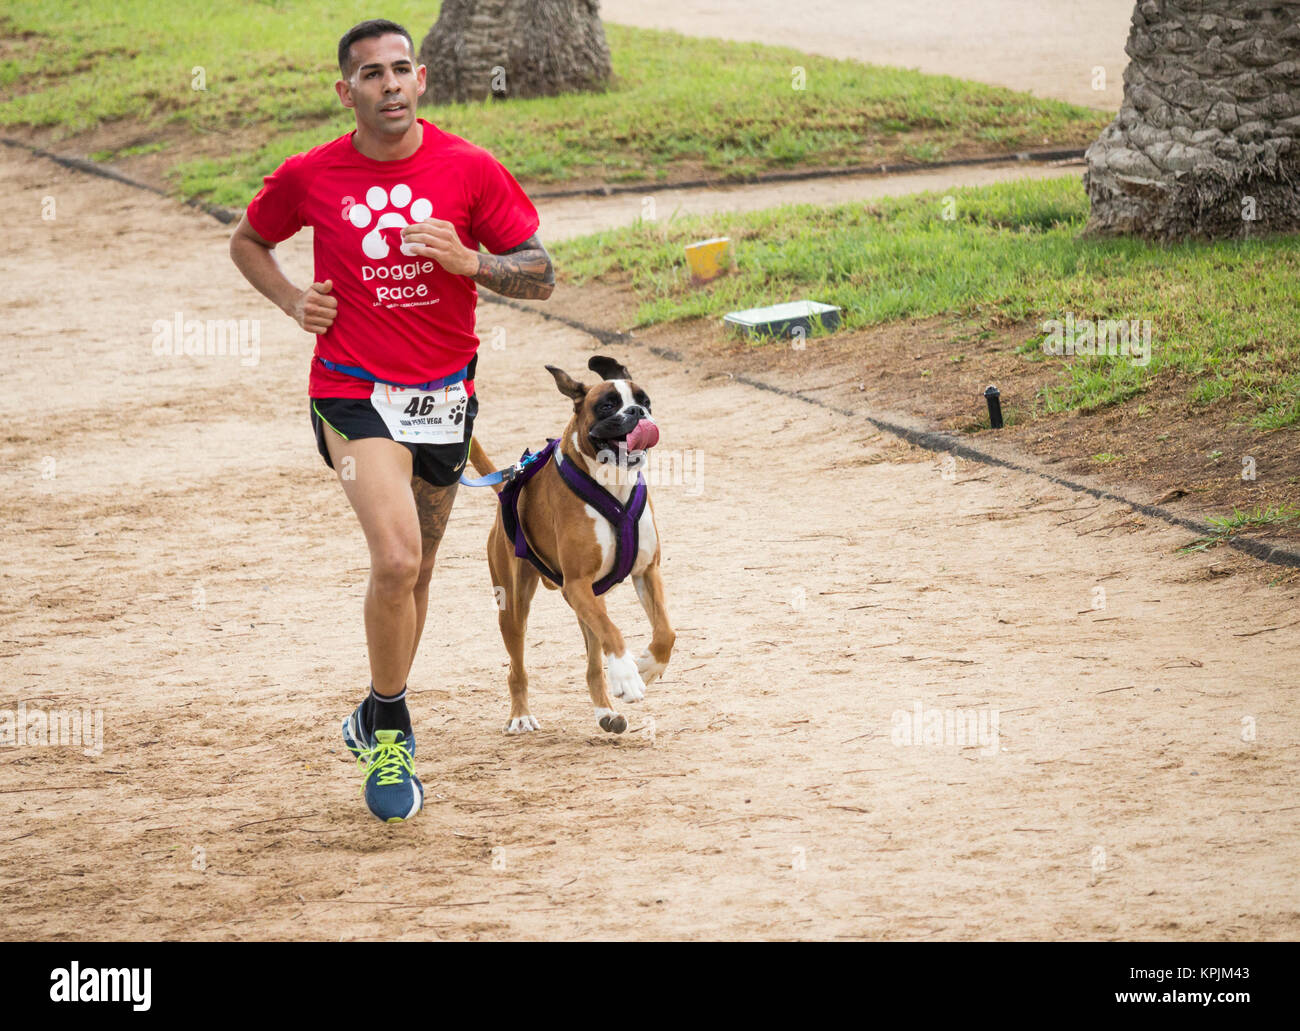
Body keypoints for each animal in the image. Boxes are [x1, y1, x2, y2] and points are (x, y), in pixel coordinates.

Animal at [467, 358, 676, 738]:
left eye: (645, 401)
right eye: (607, 405)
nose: (637, 412)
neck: (613, 484)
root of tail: (508, 483)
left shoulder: (646, 573)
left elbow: (666, 631)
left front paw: (649, 666)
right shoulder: (576, 584)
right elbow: (614, 632)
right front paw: (628, 675)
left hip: (590, 600)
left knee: (594, 663)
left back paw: (606, 711)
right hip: (514, 606)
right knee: (517, 668)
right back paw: (520, 715)